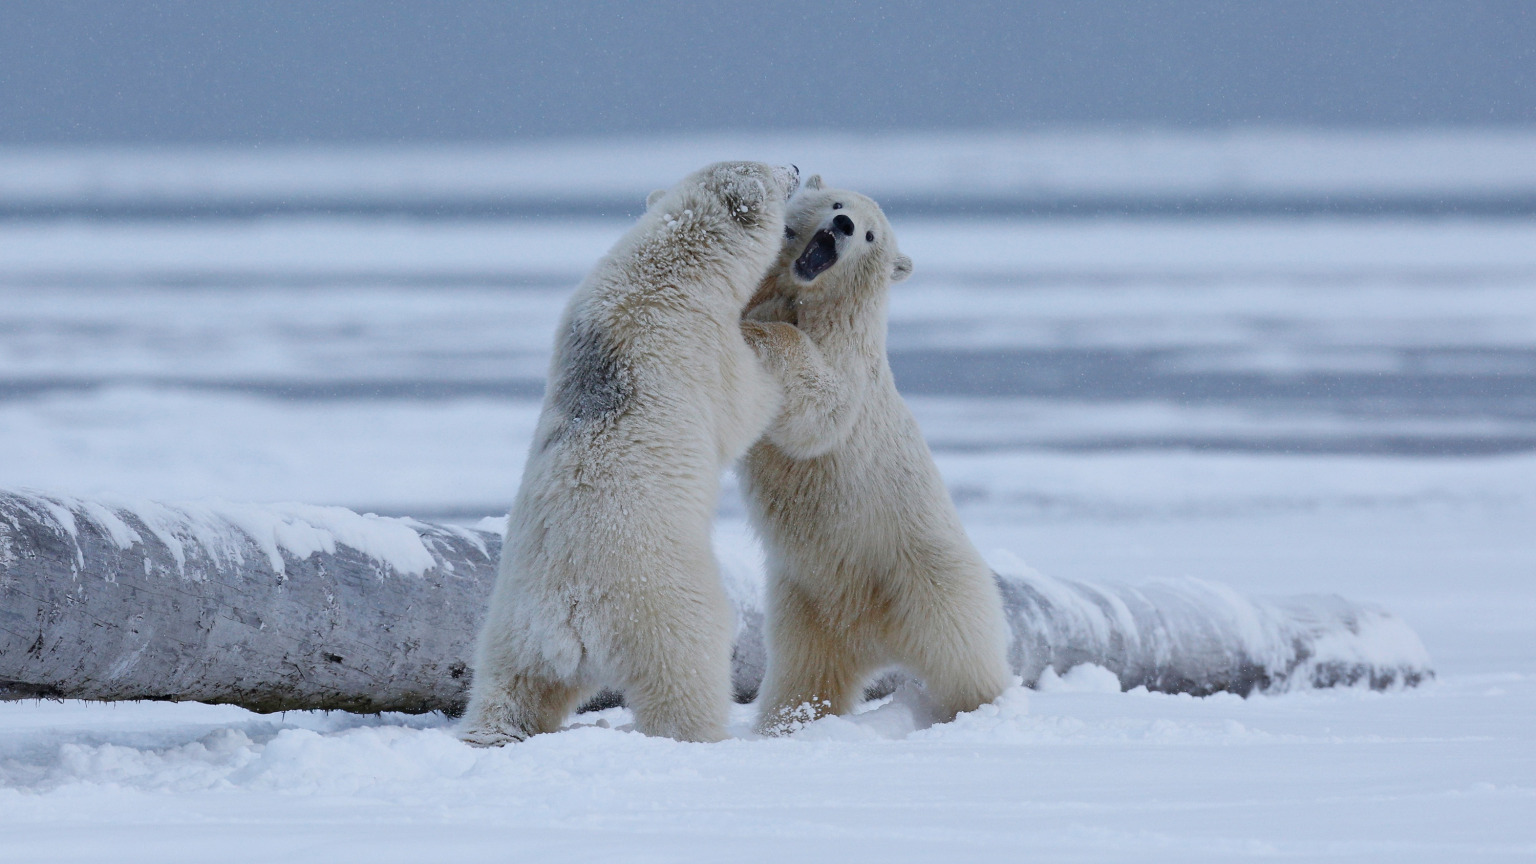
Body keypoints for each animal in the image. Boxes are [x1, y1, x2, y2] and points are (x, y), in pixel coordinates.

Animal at [457, 164, 798, 744]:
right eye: (771, 169)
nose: (797, 169)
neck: (665, 267)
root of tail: (569, 614)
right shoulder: (702, 345)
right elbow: (744, 402)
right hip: (663, 606)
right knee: (688, 676)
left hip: (511, 622)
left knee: (512, 688)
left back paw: (492, 731)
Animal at [737, 178, 1013, 728]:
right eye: (838, 204)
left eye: (869, 235)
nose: (842, 226)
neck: (807, 294)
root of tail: (875, 635)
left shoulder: (848, 357)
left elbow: (823, 407)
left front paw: (760, 333)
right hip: (806, 600)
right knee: (805, 672)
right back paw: (785, 724)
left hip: (926, 575)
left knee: (965, 652)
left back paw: (983, 709)